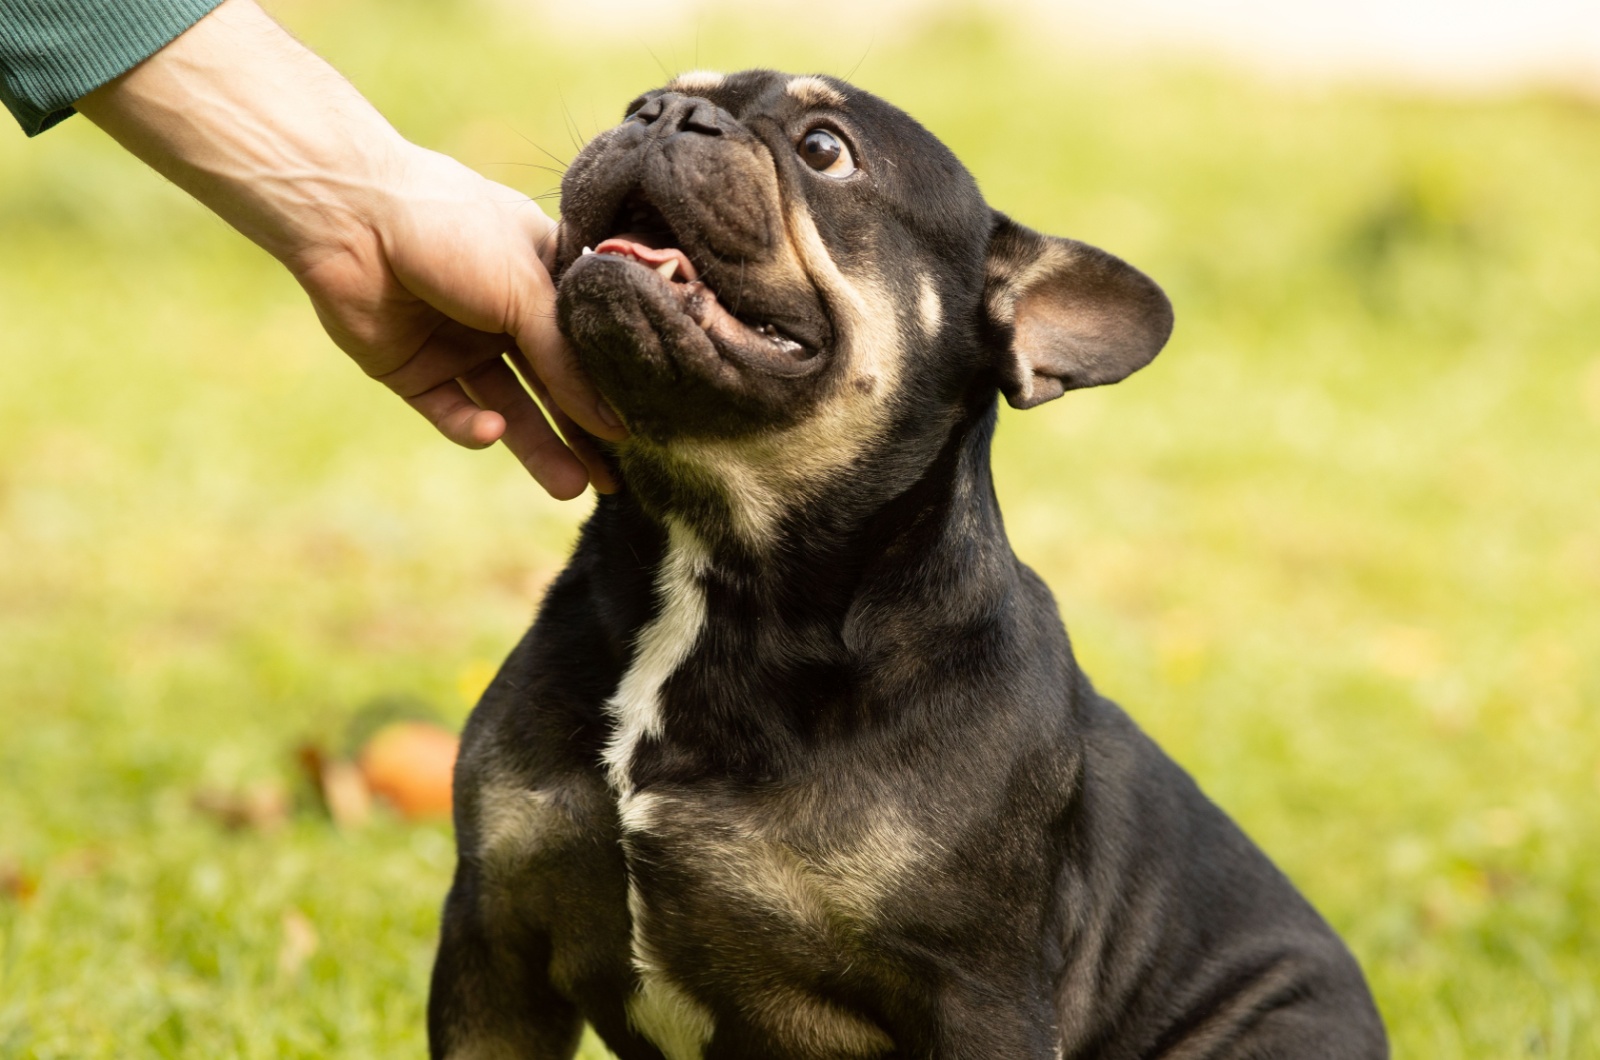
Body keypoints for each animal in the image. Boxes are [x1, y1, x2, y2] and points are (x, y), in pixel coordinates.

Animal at [428, 70, 1388, 1056]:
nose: (665, 117)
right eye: (638, 104)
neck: (713, 557)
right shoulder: (494, 938)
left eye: (824, 150)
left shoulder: (978, 995)